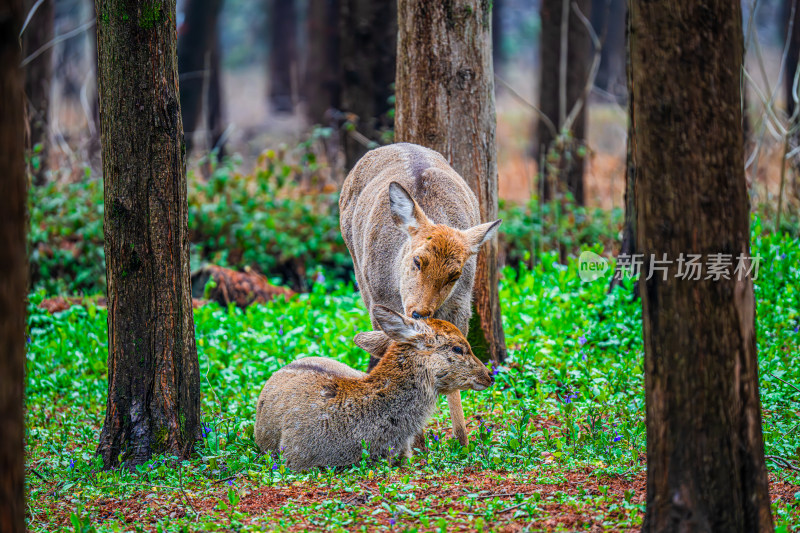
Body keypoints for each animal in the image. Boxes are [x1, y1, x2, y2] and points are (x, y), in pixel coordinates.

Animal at [338, 141, 500, 444]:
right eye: (417, 260)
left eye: (455, 274)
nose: (419, 312)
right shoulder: (380, 301)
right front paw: (416, 439)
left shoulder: (461, 305)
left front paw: (462, 440)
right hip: (359, 274)